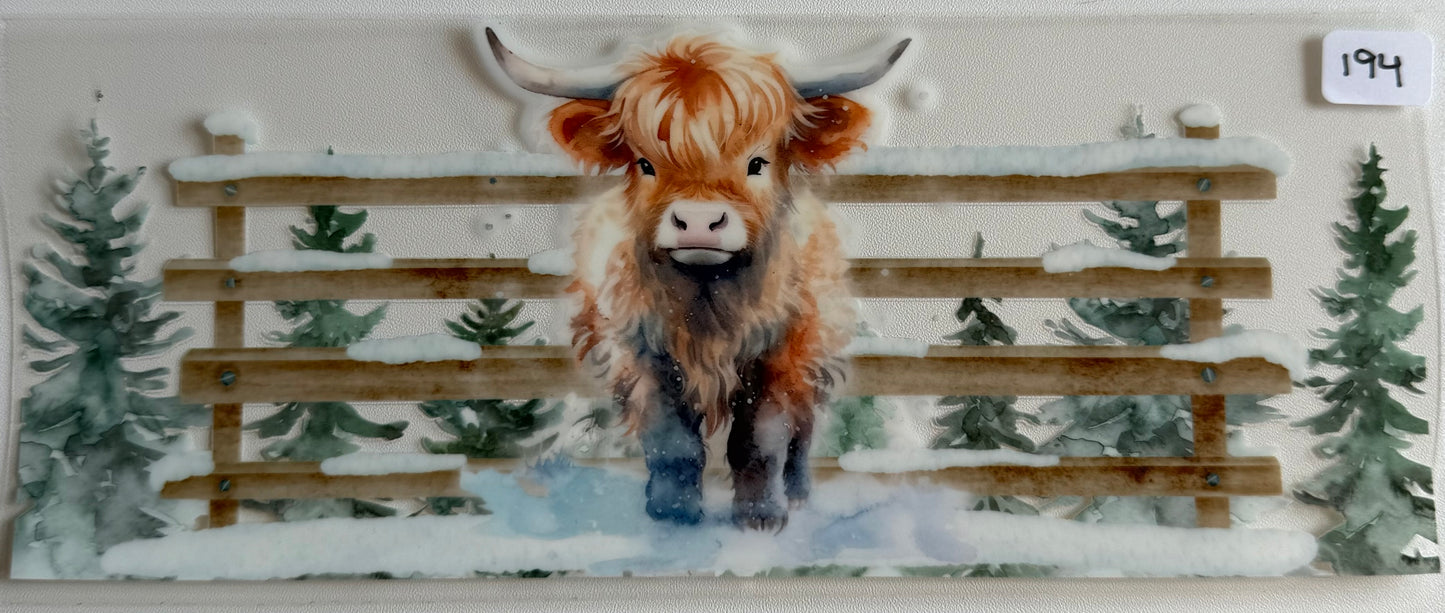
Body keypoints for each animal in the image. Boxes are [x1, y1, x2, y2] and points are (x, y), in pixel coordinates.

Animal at [487, 28, 909, 530]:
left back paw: (798, 493)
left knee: (803, 428)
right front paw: (672, 510)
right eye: (645, 163)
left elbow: (761, 440)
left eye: (757, 163)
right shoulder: (643, 356)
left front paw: (762, 516)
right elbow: (672, 443)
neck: (706, 303)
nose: (698, 222)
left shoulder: (781, 356)